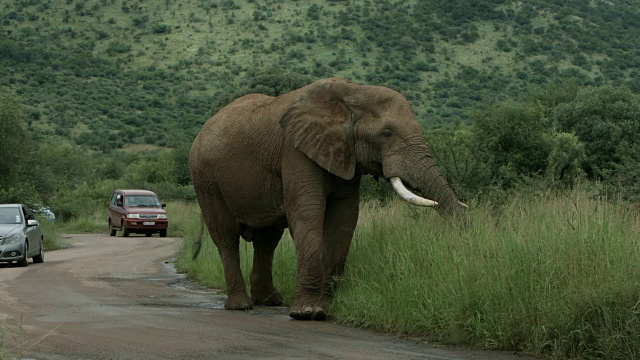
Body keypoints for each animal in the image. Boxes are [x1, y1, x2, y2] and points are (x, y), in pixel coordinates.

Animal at [189, 77, 464, 320]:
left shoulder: (346, 156)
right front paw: (306, 313)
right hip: (205, 178)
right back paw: (241, 305)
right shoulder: (295, 152)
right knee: (226, 236)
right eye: (386, 133)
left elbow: (344, 221)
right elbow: (307, 216)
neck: (354, 93)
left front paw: (323, 310)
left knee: (267, 239)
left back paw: (270, 301)